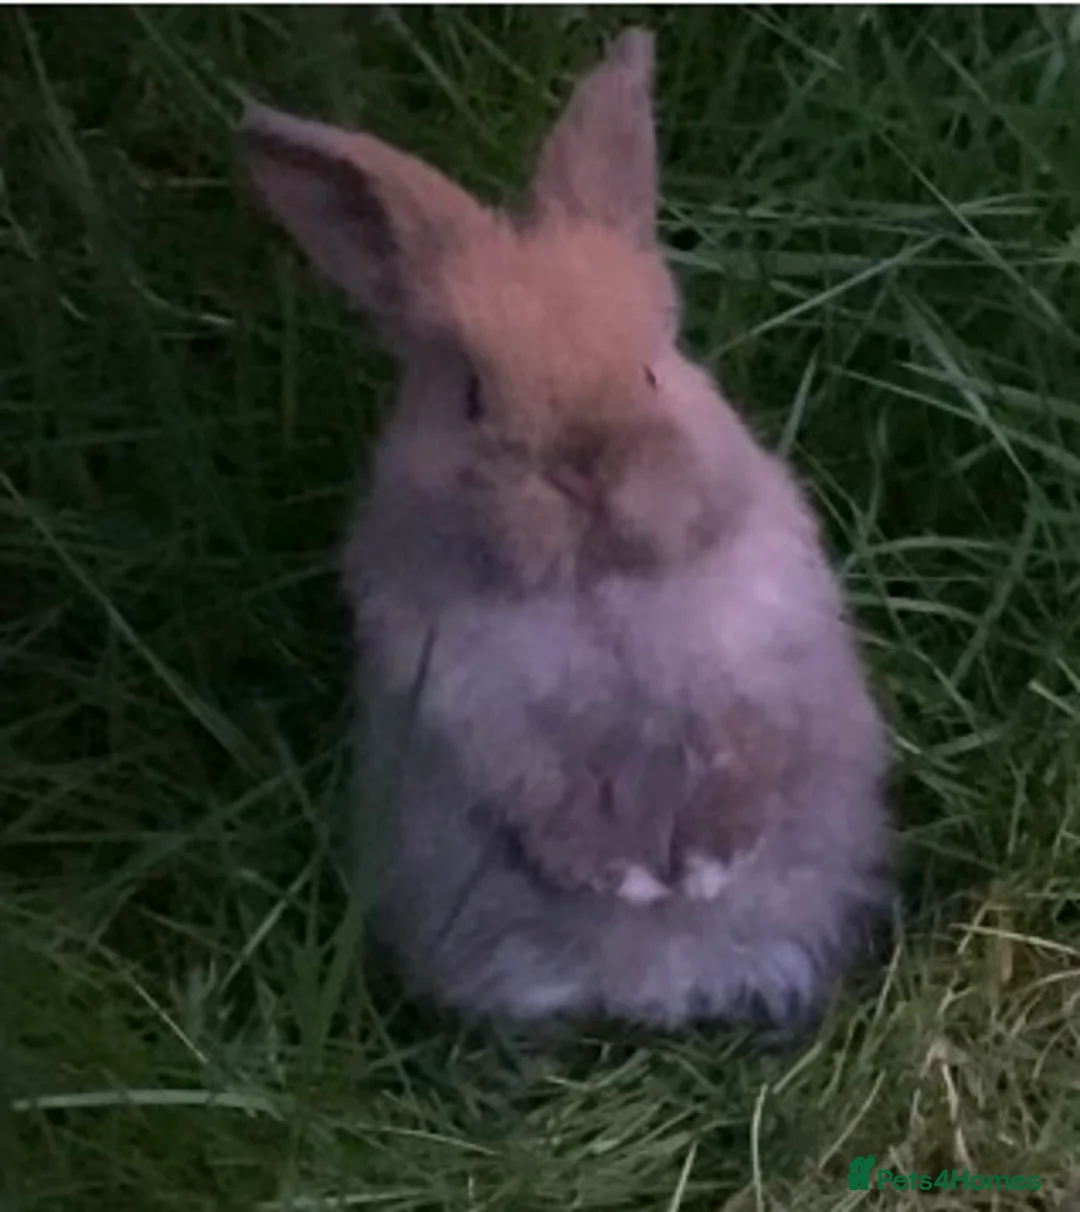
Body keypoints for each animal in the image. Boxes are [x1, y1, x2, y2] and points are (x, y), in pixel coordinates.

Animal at [240, 27, 893, 1033]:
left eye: (655, 367)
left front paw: (705, 867)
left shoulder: (768, 658)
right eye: (473, 394)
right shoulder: (472, 710)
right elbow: (548, 797)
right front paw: (627, 878)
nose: (586, 465)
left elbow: (749, 760)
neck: (598, 586)